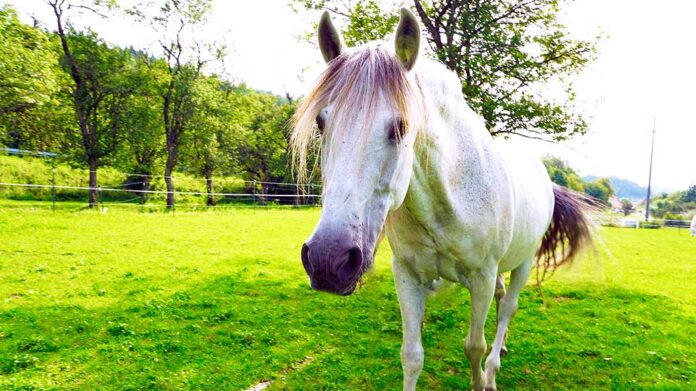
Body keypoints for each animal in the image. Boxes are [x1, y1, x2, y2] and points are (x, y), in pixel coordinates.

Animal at [290, 9, 588, 391]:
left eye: (401, 127)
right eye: (321, 123)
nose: (329, 260)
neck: (447, 201)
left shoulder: (481, 276)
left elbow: (474, 346)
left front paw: (482, 379)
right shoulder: (407, 274)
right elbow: (411, 356)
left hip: (523, 261)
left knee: (508, 308)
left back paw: (494, 367)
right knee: (502, 300)